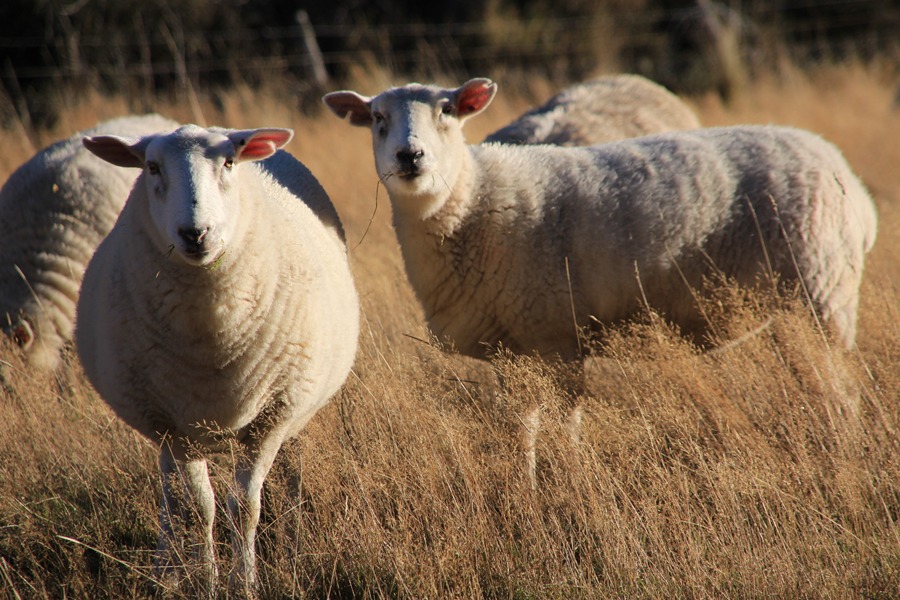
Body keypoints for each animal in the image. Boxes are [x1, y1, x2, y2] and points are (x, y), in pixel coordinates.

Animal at [77, 124, 358, 592]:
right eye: (151, 167)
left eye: (228, 162)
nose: (195, 232)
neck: (210, 334)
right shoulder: (172, 426)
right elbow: (197, 508)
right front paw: (205, 581)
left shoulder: (270, 419)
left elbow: (243, 508)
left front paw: (244, 583)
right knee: (171, 499)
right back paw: (164, 569)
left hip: (294, 411)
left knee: (291, 473)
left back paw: (294, 544)